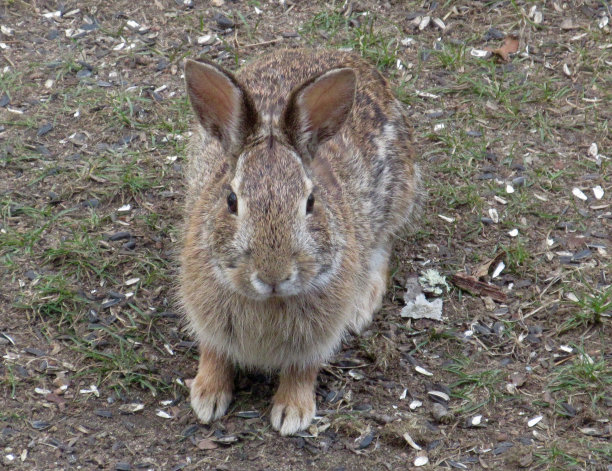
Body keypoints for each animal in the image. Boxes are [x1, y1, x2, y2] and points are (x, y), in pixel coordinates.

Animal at [178, 48, 420, 436]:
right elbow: (214, 353)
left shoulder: (318, 337)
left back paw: (362, 306)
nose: (273, 275)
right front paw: (206, 398)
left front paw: (292, 412)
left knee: (383, 248)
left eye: (310, 202)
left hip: (396, 198)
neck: (269, 302)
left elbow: (302, 369)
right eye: (231, 200)